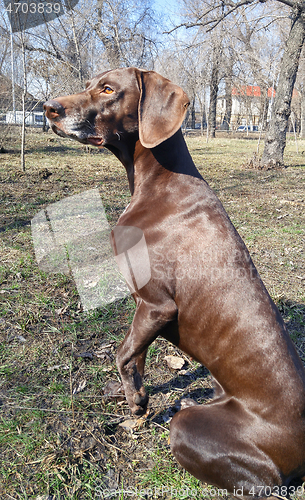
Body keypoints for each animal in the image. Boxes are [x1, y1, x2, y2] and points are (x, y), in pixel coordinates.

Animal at [44, 67, 304, 500]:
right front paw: (135, 398)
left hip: (209, 440)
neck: (158, 181)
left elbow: (122, 353)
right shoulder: (145, 310)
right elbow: (135, 356)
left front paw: (135, 405)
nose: (48, 108)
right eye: (89, 83)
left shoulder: (157, 304)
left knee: (263, 483)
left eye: (108, 89)